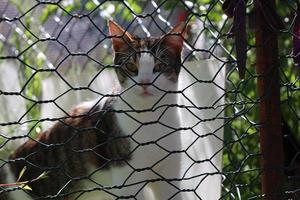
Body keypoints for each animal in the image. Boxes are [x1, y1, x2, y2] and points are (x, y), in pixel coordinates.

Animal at [0, 20, 185, 200]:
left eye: (159, 66)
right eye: (131, 67)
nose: (145, 83)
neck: (151, 118)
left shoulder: (170, 171)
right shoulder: (126, 176)